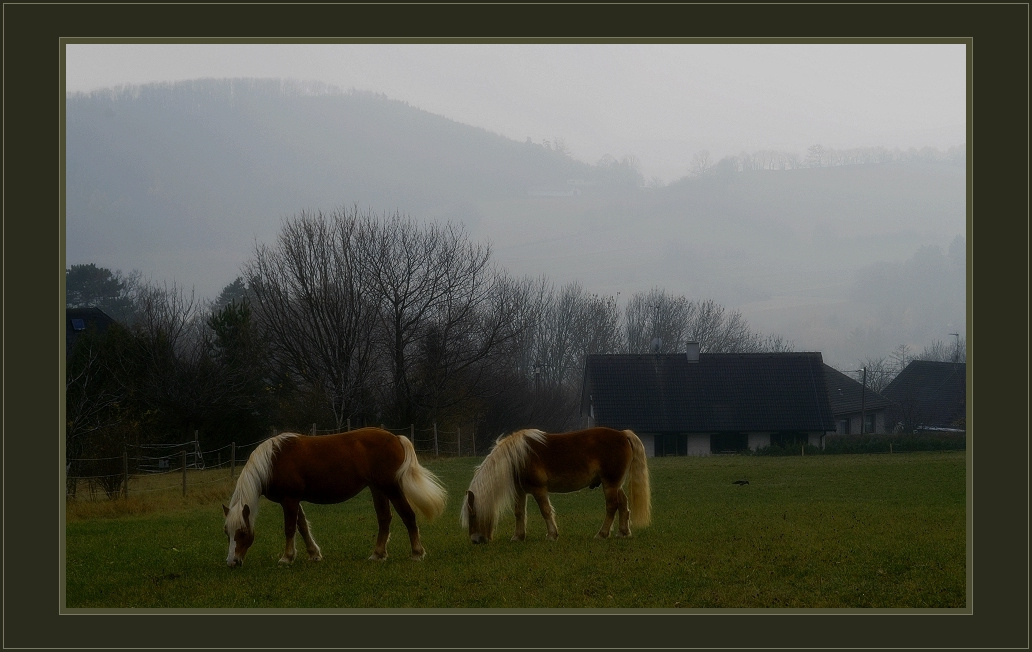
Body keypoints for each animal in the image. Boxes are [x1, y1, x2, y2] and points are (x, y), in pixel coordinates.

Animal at [222, 427, 447, 567]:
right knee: (384, 519)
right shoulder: (295, 500)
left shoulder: (289, 499)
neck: (272, 461)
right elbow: (302, 527)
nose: (232, 562)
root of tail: (395, 438)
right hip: (378, 489)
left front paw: (287, 558)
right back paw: (377, 554)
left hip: (391, 488)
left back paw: (417, 553)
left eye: (242, 532)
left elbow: (290, 528)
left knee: (408, 516)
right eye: (227, 533)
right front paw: (313, 554)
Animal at [460, 427, 651, 543]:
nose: (475, 540)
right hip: (614, 484)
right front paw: (518, 536)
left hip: (609, 484)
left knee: (612, 506)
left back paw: (602, 534)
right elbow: (519, 513)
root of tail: (622, 434)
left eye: (473, 516)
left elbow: (545, 511)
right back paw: (623, 532)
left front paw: (552, 535)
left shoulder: (539, 489)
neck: (518, 457)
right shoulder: (520, 491)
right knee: (623, 504)